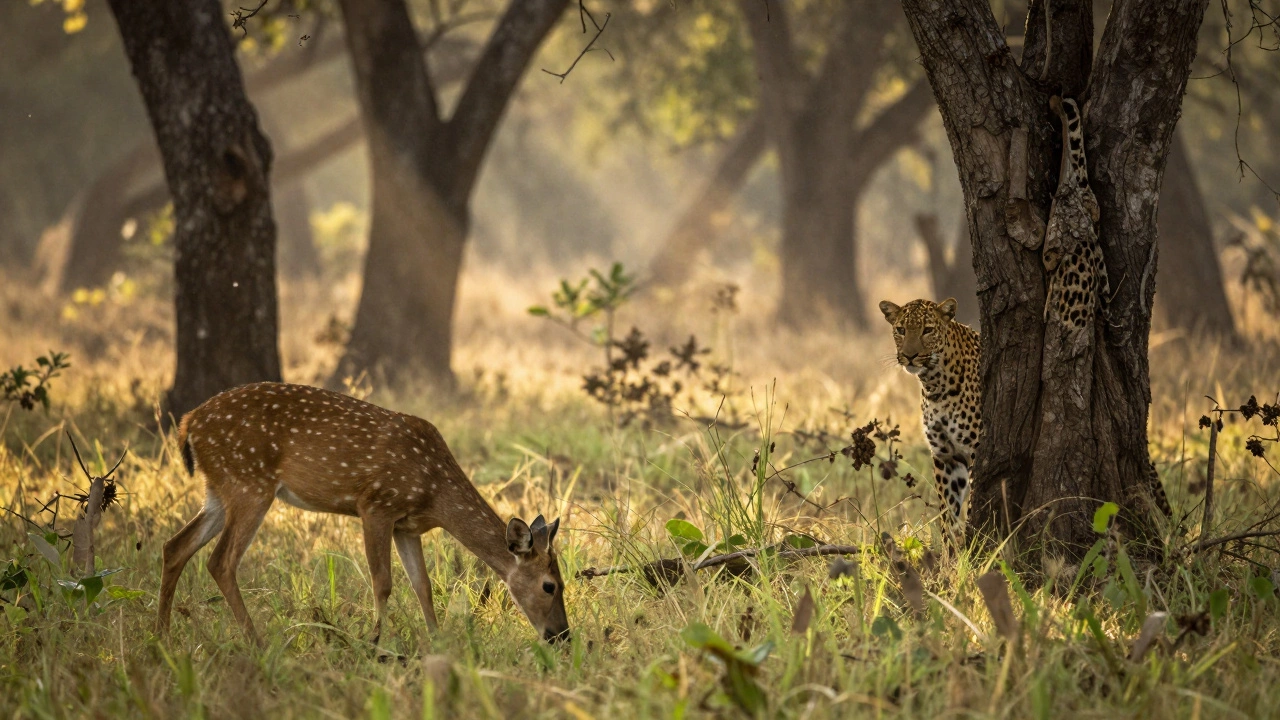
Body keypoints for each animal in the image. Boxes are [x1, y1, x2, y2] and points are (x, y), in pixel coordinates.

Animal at [157, 382, 569, 644]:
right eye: (550, 585)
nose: (561, 636)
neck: (434, 492)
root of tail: (188, 424)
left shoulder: (407, 526)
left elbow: (423, 585)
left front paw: (436, 642)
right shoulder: (375, 505)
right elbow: (383, 581)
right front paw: (374, 643)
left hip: (219, 489)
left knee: (174, 546)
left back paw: (161, 637)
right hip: (249, 482)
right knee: (221, 560)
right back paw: (255, 642)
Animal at [878, 297, 981, 536]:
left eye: (928, 330)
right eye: (901, 330)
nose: (910, 356)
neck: (936, 386)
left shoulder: (976, 449)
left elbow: (972, 502)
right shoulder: (946, 456)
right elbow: (947, 516)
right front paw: (952, 546)